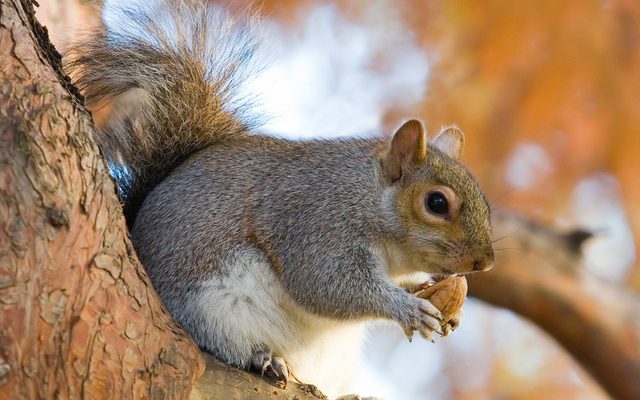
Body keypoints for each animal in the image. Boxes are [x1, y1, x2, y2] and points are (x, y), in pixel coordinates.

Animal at [66, 0, 494, 398]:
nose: (485, 263)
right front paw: (407, 309)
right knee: (225, 343)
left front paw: (431, 295)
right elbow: (326, 284)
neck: (367, 198)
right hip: (212, 309)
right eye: (437, 203)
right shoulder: (315, 222)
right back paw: (264, 358)